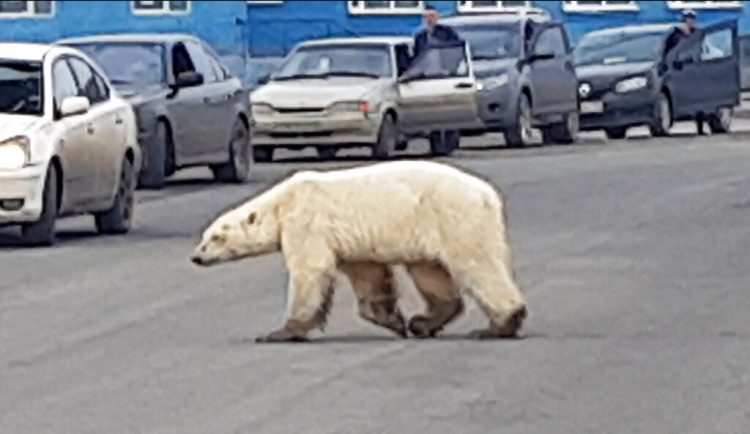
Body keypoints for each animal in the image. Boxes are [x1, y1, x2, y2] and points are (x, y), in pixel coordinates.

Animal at [188, 159, 528, 342]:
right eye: (204, 236)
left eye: (216, 237)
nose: (196, 257)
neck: (283, 202)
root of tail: (489, 195)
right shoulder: (353, 241)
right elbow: (369, 276)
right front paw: (395, 321)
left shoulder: (307, 222)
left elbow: (309, 271)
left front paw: (280, 332)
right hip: (428, 229)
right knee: (430, 271)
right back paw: (423, 322)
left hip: (454, 216)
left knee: (476, 264)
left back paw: (499, 325)